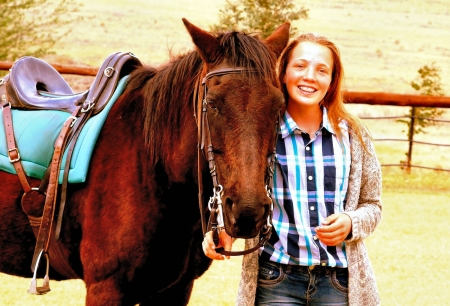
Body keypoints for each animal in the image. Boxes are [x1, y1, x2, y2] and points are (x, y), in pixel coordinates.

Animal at [0, 17, 288, 304]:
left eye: (279, 106)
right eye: (213, 103)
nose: (248, 211)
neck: (155, 167)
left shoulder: (177, 288)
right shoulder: (106, 287)